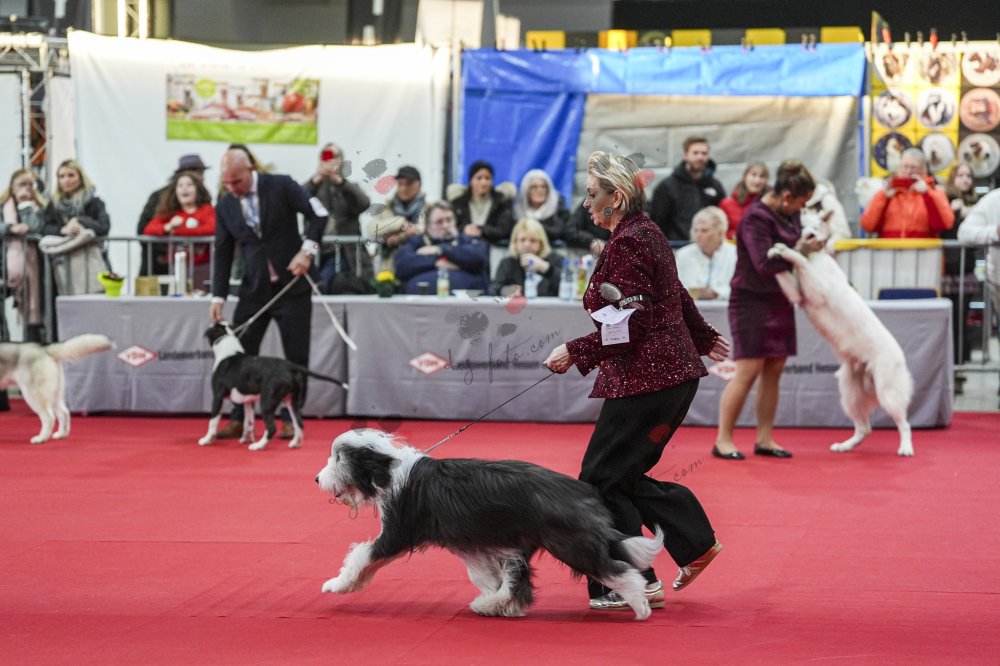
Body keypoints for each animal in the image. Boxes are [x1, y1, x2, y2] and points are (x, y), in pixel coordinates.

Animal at [199, 322, 348, 451]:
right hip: (291, 400)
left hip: (267, 401)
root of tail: (290, 366)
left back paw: (259, 446)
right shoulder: (249, 401)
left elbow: (213, 421)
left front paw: (206, 439)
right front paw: (246, 438)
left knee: (271, 427)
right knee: (299, 422)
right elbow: (249, 422)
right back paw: (294, 443)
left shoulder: (217, 397)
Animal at [315, 429, 665, 620]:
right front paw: (492, 595)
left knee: (616, 569)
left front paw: (336, 585)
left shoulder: (398, 531)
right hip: (526, 541)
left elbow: (362, 555)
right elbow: (483, 573)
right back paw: (493, 604)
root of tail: (581, 491)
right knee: (517, 578)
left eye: (338, 458)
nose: (317, 479)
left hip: (570, 542)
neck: (389, 470)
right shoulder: (470, 541)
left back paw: (639, 603)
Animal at [767, 214, 914, 456]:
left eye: (817, 226)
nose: (812, 235)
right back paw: (845, 446)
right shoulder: (797, 294)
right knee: (864, 429)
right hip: (850, 393)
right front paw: (776, 249)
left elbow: (800, 261)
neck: (815, 255)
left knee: (904, 424)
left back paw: (905, 448)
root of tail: (900, 355)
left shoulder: (817, 291)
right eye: (804, 224)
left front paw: (787, 251)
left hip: (887, 393)